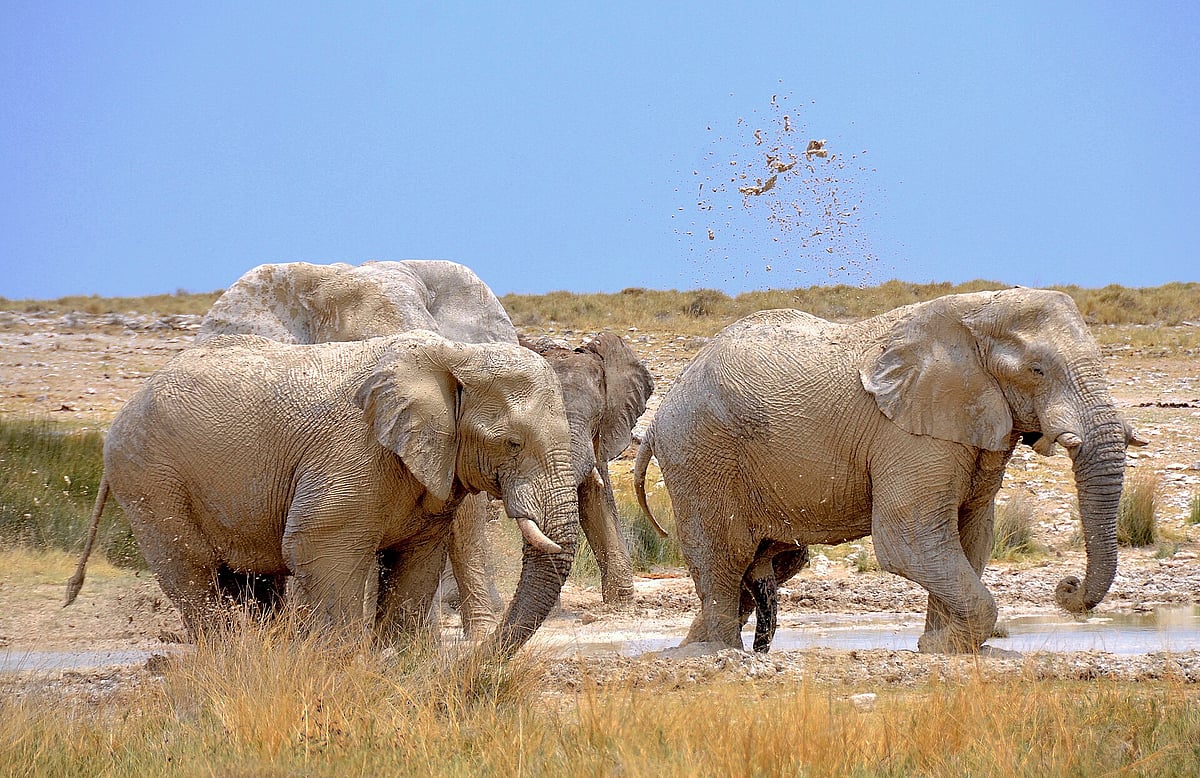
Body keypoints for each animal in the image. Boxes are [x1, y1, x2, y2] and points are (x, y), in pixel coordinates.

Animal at [65, 330, 579, 656]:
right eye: (512, 444)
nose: (474, 658)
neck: (456, 354)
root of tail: (125, 407)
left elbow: (417, 561)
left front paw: (400, 662)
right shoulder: (351, 453)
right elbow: (319, 547)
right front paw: (343, 666)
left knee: (251, 581)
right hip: (150, 482)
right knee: (192, 572)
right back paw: (230, 660)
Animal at [634, 289, 1145, 654]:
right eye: (1037, 370)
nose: (1067, 586)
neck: (976, 313)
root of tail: (660, 414)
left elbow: (971, 536)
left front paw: (939, 648)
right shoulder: (909, 433)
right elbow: (910, 541)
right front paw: (946, 644)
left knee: (770, 563)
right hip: (700, 453)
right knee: (725, 554)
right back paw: (710, 653)